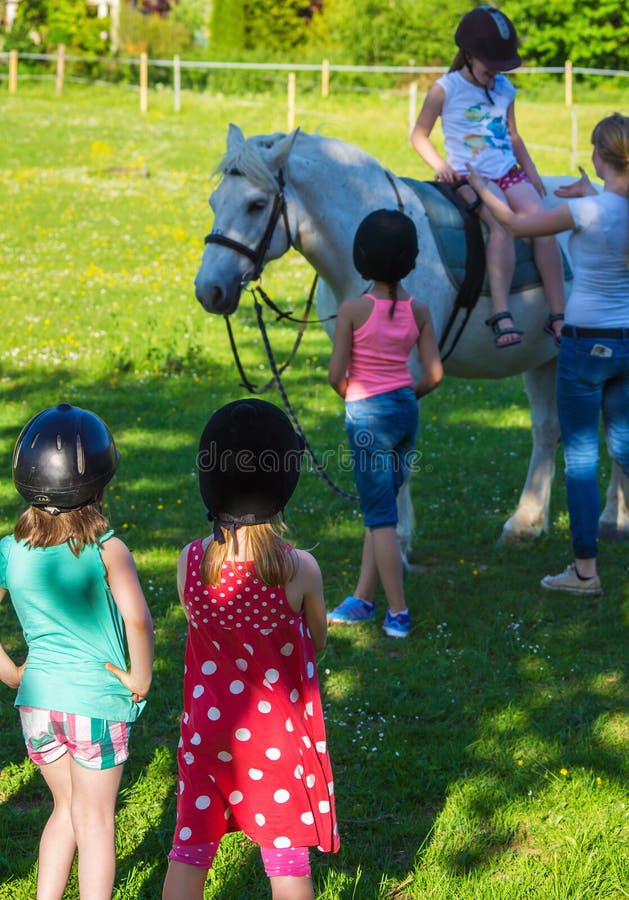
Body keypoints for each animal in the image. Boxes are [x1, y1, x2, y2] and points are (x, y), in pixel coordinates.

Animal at [194, 123, 624, 548]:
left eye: (256, 204)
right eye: (213, 202)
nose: (208, 289)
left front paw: (396, 538)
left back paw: (611, 519)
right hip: (543, 358)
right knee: (548, 429)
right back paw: (525, 522)